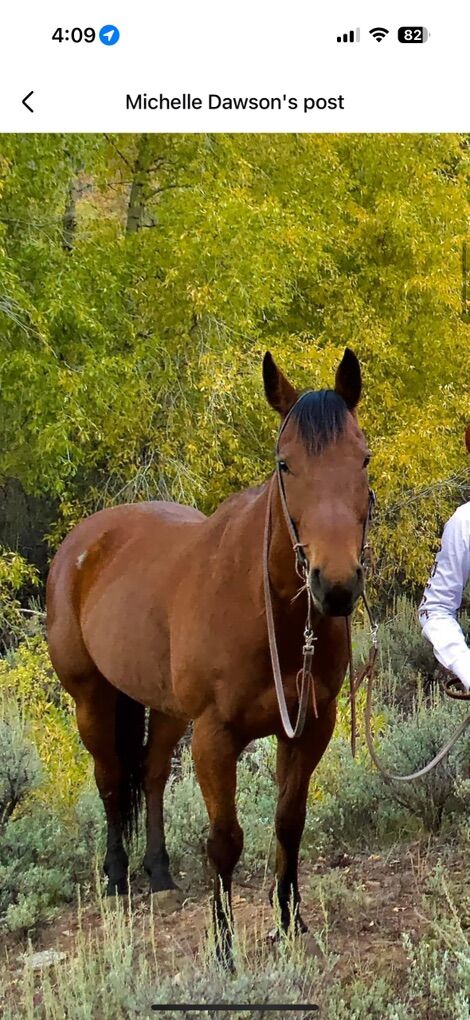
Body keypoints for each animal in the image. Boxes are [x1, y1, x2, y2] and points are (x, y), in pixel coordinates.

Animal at [46, 347, 372, 963]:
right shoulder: (216, 736)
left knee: (149, 775)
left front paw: (291, 922)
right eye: (285, 465)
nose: (336, 585)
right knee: (110, 780)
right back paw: (118, 879)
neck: (267, 609)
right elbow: (225, 841)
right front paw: (223, 946)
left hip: (167, 709)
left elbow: (288, 822)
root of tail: (83, 541)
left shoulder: (309, 727)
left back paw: (160, 875)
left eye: (363, 458)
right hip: (92, 698)